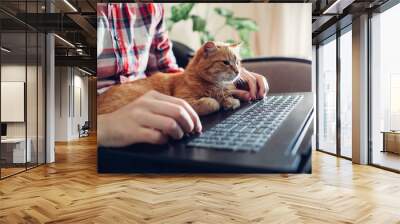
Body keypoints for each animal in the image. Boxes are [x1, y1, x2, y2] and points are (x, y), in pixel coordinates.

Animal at [98, 41, 242, 116]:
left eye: (237, 62)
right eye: (225, 62)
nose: (238, 71)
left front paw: (229, 101)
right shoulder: (184, 99)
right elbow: (212, 103)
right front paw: (218, 102)